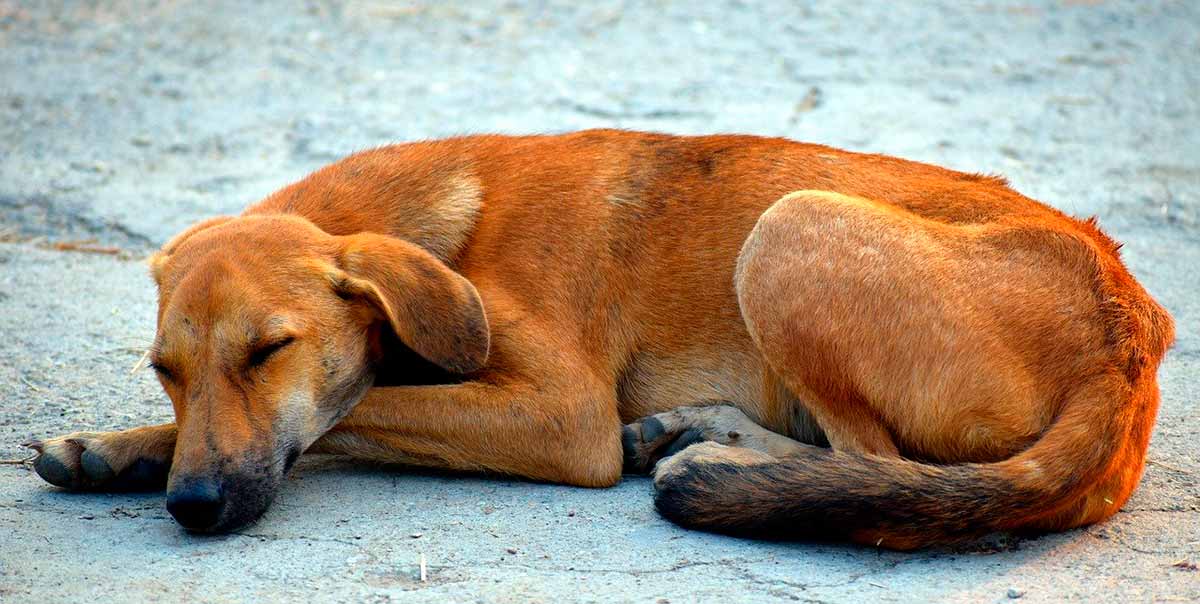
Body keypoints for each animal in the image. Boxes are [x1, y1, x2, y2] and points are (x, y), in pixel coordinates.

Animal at [25, 130, 1171, 549]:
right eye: (166, 372)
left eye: (271, 351)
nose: (193, 507)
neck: (453, 228)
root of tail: (1129, 336)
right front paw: (116, 449)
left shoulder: (562, 416)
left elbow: (356, 409)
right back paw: (703, 432)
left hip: (788, 228)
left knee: (880, 469)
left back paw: (724, 462)